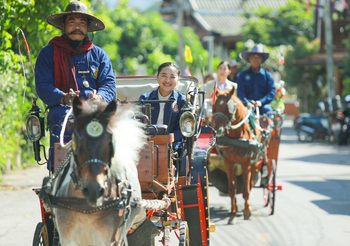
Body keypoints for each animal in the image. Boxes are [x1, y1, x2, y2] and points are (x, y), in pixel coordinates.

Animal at [50, 97, 146, 245]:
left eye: (110, 141)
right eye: (76, 140)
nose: (93, 190)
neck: (86, 208)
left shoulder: (109, 241)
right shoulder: (67, 240)